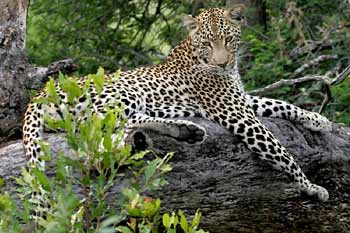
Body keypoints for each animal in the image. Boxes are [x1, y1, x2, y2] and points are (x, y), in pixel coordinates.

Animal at [23, 5, 330, 202]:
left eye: (228, 39)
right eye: (208, 43)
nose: (222, 63)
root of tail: (42, 92)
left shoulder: (239, 100)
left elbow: (279, 102)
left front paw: (319, 120)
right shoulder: (234, 112)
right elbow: (280, 151)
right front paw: (310, 186)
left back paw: (185, 130)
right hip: (124, 92)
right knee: (102, 128)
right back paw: (181, 129)